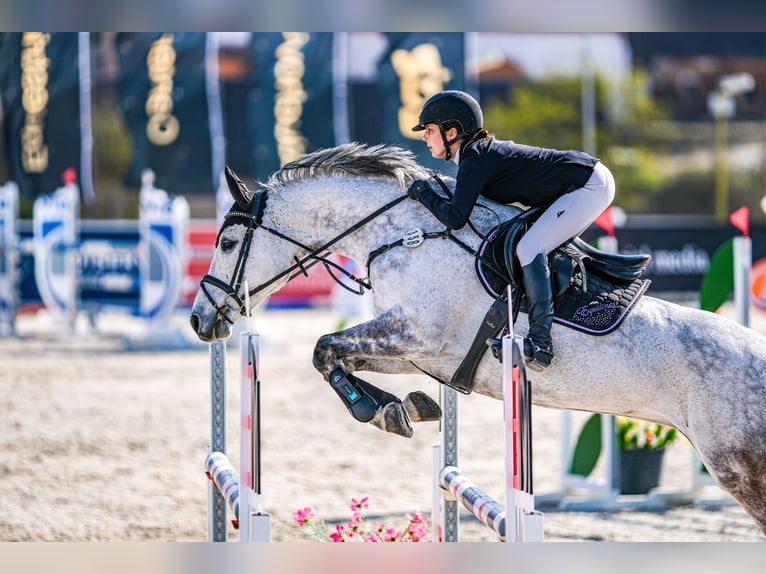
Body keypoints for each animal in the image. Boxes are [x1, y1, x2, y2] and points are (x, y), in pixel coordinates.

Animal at [189, 142, 766, 537]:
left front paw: (381, 410)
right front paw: (405, 408)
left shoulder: (414, 335)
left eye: (228, 242)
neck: (402, 234)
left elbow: (324, 348)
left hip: (740, 466)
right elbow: (335, 356)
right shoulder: (418, 353)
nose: (199, 320)